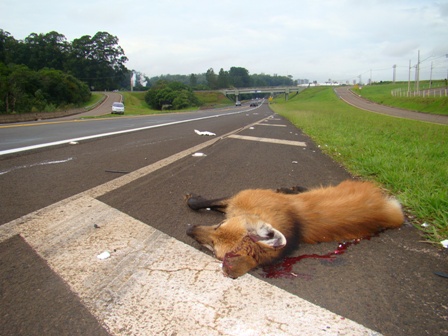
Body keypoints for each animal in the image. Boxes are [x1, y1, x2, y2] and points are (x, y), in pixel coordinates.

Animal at [186, 180, 402, 280]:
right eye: (219, 225)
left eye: (212, 245)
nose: (189, 231)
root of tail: (391, 212)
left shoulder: (237, 199)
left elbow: (199, 203)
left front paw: (192, 199)